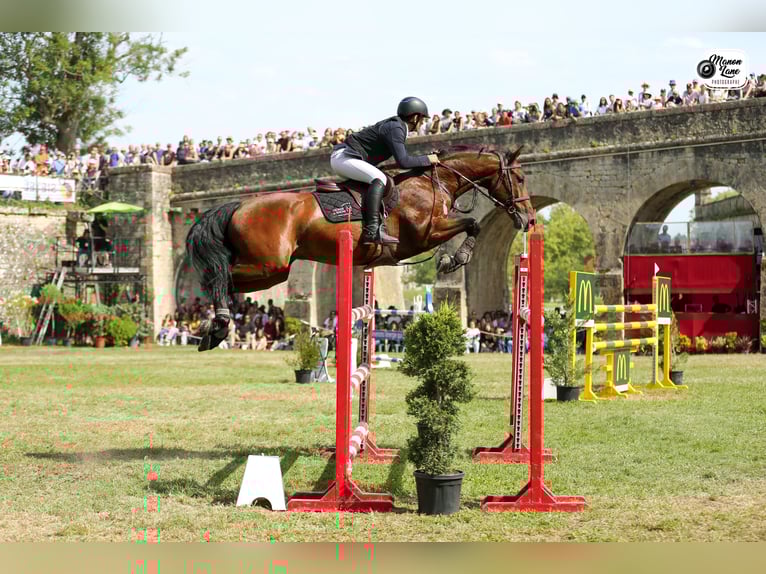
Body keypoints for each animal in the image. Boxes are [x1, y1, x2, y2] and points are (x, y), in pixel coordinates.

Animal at [186, 144, 534, 351]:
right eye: (518, 178)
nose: (528, 219)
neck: (434, 184)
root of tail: (240, 204)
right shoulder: (425, 234)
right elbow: (472, 224)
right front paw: (454, 259)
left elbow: (473, 225)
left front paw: (453, 258)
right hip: (270, 264)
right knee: (218, 277)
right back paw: (217, 324)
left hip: (270, 268)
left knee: (224, 279)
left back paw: (214, 327)